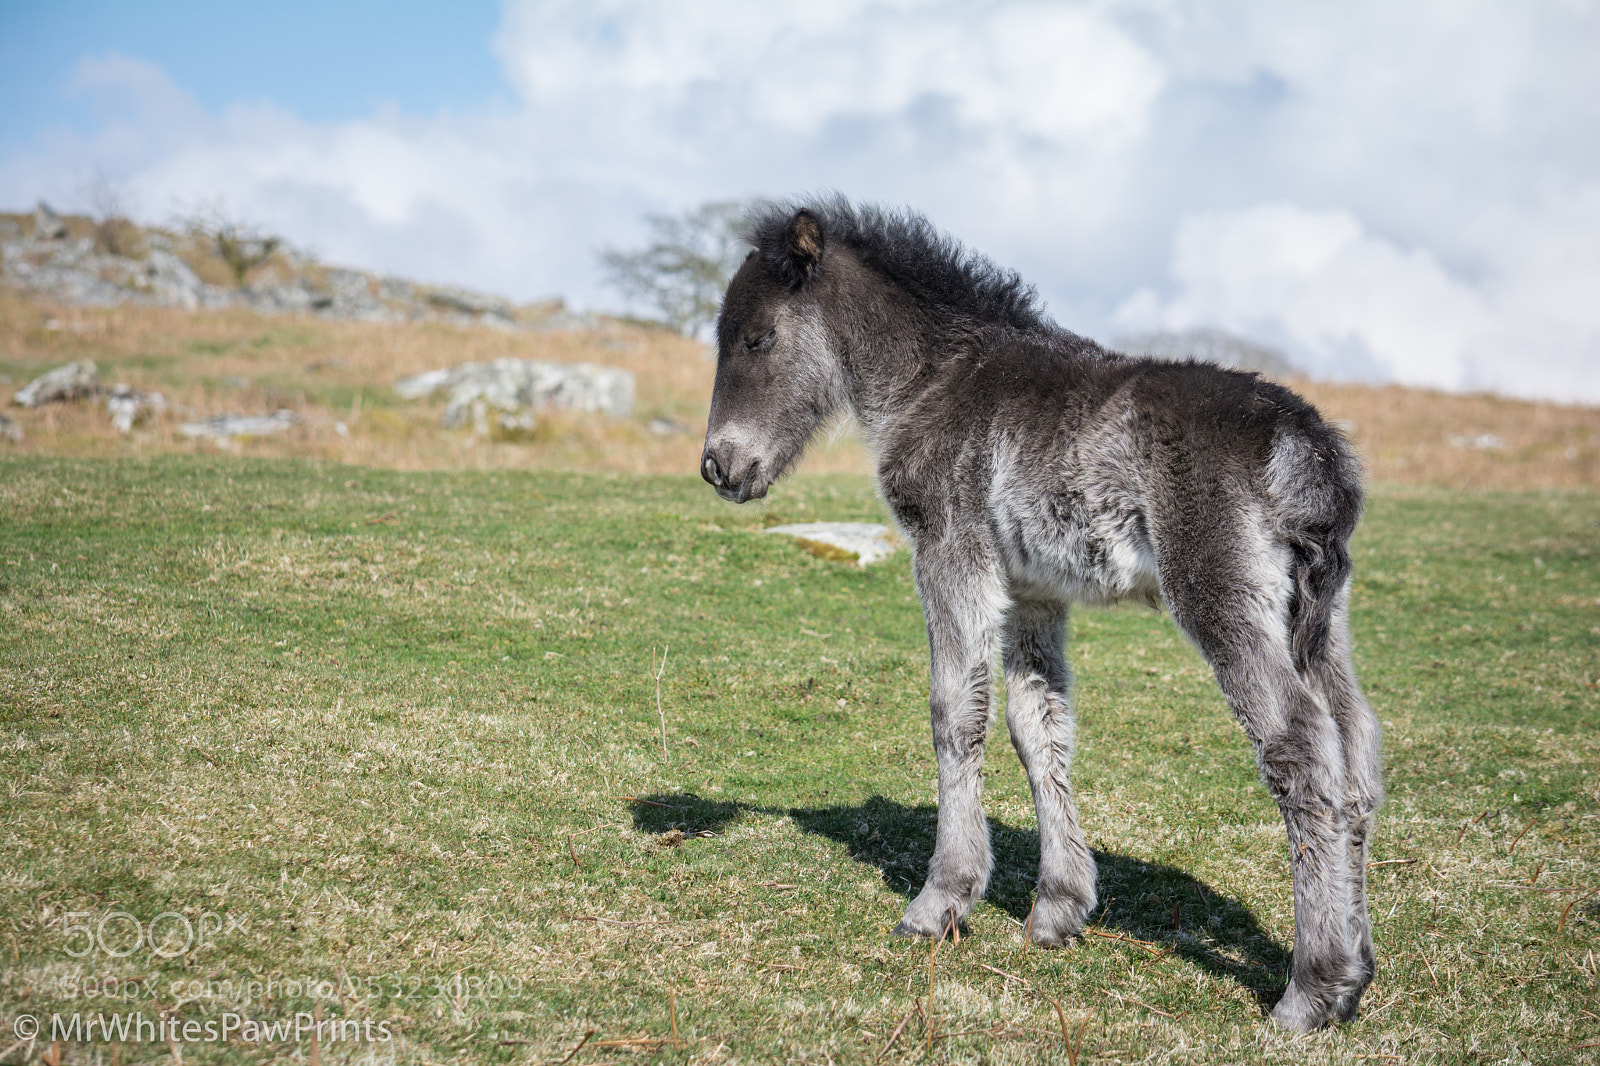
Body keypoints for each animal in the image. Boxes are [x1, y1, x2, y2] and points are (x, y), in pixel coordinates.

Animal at [698, 197, 1381, 1031]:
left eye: (758, 337)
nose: (719, 467)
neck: (933, 378)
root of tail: (1311, 452)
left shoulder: (949, 551)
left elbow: (955, 711)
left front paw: (940, 901)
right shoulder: (1033, 592)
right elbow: (1038, 727)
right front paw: (1058, 909)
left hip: (1223, 598)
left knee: (1301, 747)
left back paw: (1310, 991)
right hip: (1320, 622)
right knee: (1356, 749)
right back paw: (1355, 973)